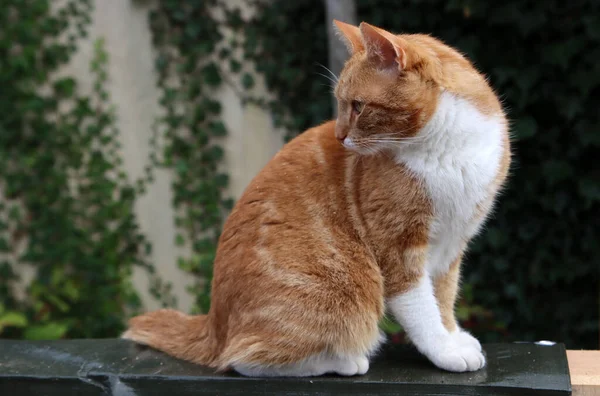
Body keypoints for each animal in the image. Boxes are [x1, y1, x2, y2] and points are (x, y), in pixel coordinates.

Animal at [122, 19, 510, 378]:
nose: (339, 136)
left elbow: (443, 298)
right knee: (242, 358)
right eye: (342, 104)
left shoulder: (450, 247)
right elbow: (422, 310)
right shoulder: (398, 248)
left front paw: (454, 336)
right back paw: (342, 361)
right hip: (338, 290)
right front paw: (445, 351)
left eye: (358, 106)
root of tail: (213, 324)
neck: (447, 147)